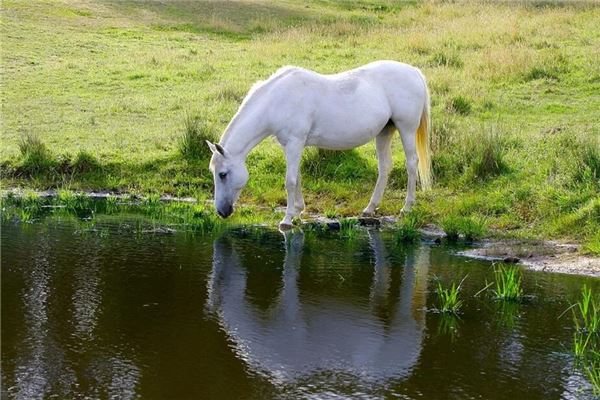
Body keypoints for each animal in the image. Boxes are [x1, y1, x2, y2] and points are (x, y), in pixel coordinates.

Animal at [207, 59, 432, 228]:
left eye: (223, 174)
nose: (221, 211)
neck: (277, 100)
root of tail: (414, 72)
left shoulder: (295, 143)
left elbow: (290, 180)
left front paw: (287, 219)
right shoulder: (291, 146)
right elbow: (297, 177)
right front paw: (298, 211)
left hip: (406, 129)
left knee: (411, 164)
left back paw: (407, 207)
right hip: (385, 132)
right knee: (385, 167)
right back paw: (370, 209)